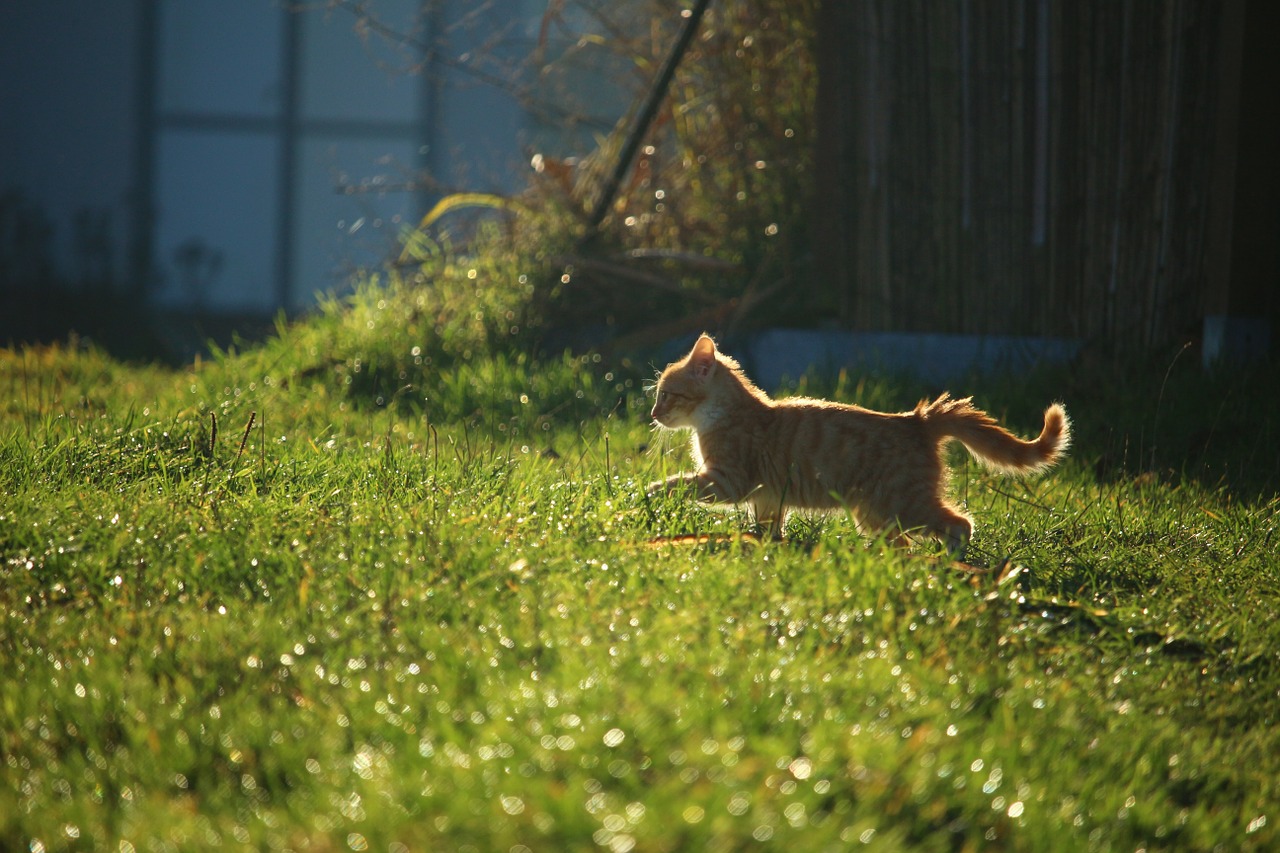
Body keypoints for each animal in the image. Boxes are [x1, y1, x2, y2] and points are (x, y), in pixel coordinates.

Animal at [640, 333, 1070, 558]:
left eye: (666, 395)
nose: (652, 415)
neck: (723, 414)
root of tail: (916, 420)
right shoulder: (766, 497)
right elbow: (767, 529)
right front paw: (766, 550)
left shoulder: (729, 481)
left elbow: (677, 485)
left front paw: (644, 494)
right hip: (876, 516)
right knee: (904, 544)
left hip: (904, 504)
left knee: (959, 525)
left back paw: (950, 567)